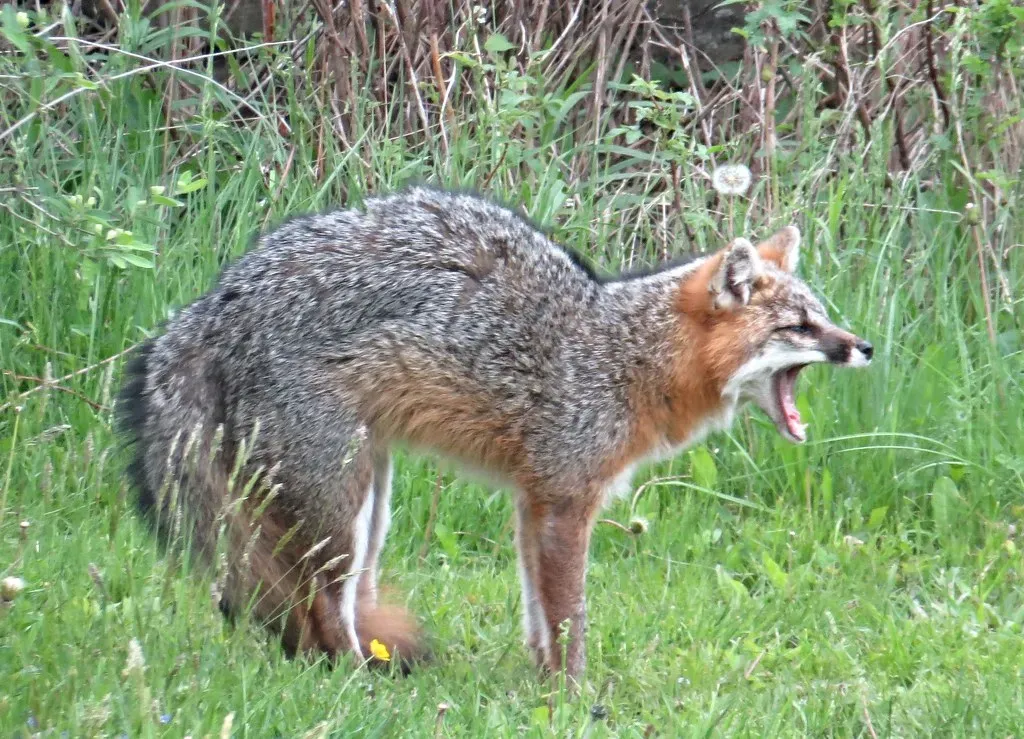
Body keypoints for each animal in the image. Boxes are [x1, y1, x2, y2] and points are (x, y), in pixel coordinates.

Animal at [117, 186, 872, 684]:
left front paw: (542, 685)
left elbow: (539, 614)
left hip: (370, 509)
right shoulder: (566, 504)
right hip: (341, 507)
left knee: (325, 608)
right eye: (799, 327)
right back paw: (360, 685)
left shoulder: (532, 502)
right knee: (324, 608)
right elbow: (570, 616)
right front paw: (575, 697)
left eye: (823, 316)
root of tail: (212, 304)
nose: (863, 347)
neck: (624, 354)